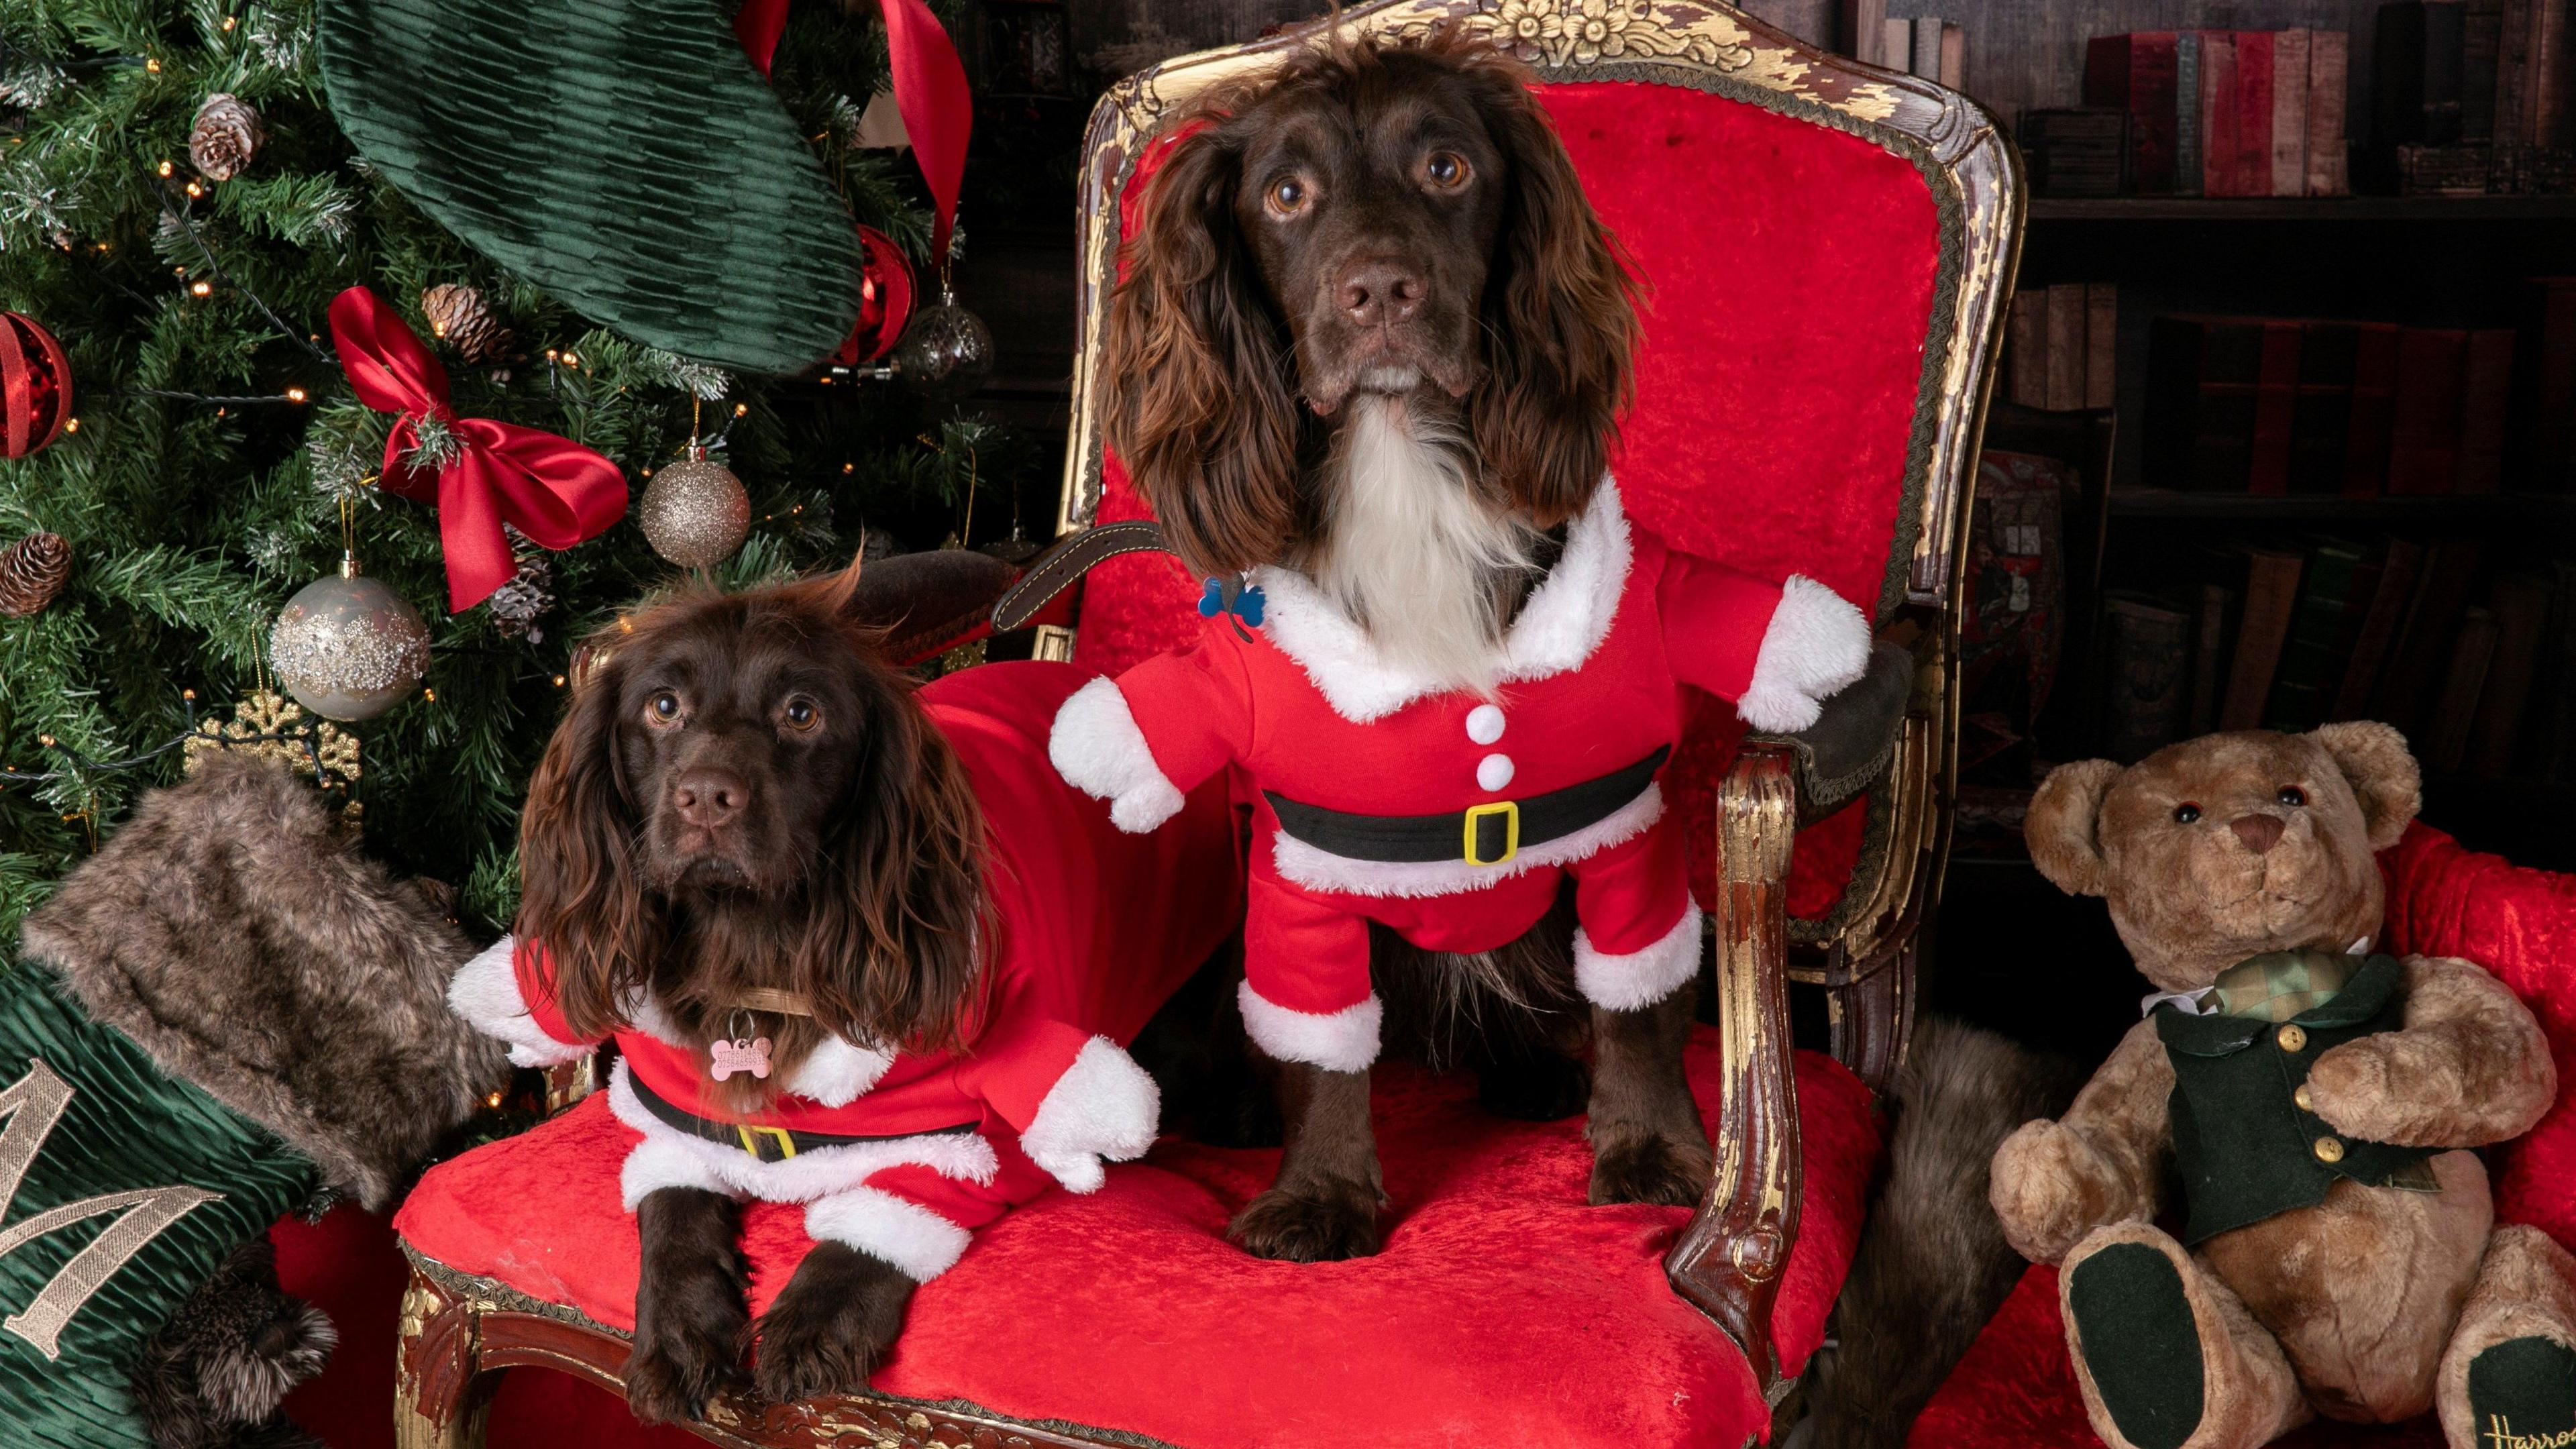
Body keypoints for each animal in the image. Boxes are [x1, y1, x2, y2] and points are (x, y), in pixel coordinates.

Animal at [448, 567, 1241, 1423]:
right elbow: (672, 1214)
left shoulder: (979, 1139)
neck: (754, 953)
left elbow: (879, 1225)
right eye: (663, 706)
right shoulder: (677, 1117)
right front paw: (680, 1336)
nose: (706, 797)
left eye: (802, 713)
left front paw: (814, 1322)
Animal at [1046, 28, 1875, 1258]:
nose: (1382, 290)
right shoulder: (1302, 871)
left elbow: (1639, 1008)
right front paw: (1321, 1192)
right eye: (1285, 196)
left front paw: (1653, 1152)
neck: (1403, 466)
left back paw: (1533, 1071)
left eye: (1446, 169)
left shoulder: (1620, 835)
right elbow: (1321, 1054)